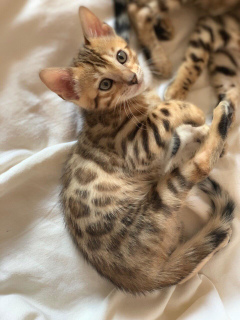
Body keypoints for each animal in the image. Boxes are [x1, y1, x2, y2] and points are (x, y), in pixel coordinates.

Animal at [40, 5, 235, 296]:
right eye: (105, 84)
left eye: (121, 56)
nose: (133, 77)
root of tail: (144, 278)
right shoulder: (139, 144)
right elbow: (167, 110)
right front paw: (195, 113)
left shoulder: (163, 143)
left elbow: (178, 133)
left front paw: (199, 128)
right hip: (158, 201)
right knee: (199, 167)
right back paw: (222, 115)